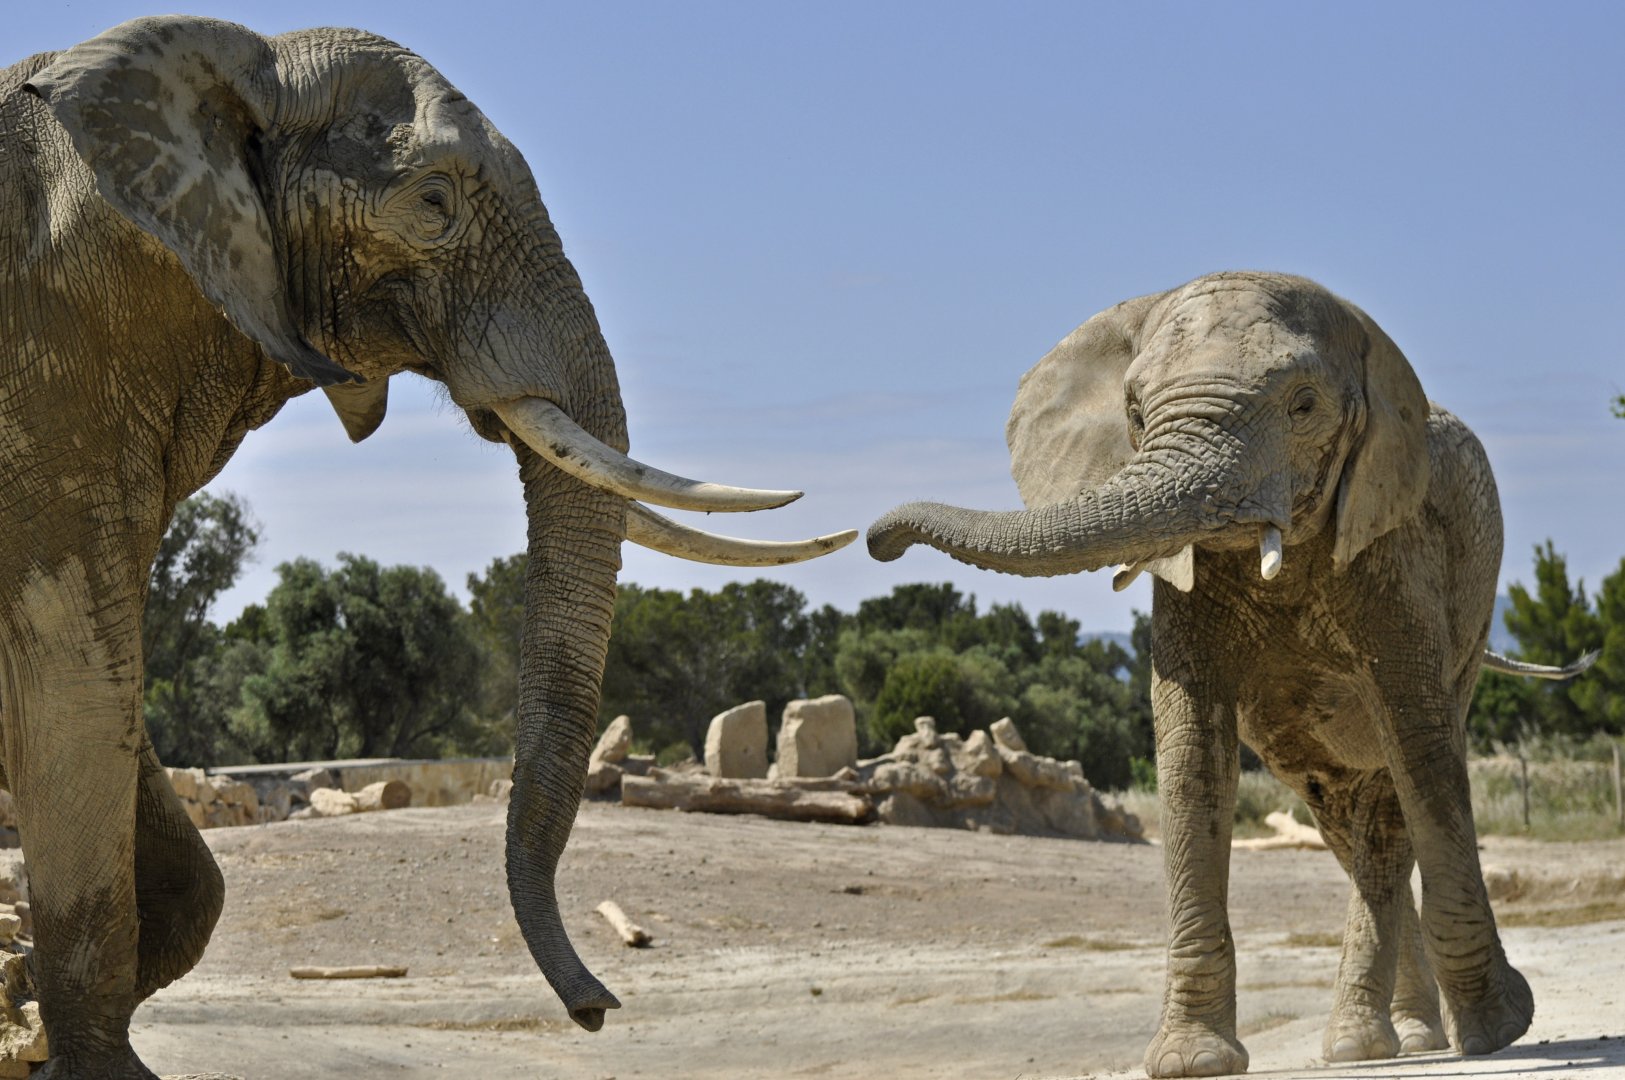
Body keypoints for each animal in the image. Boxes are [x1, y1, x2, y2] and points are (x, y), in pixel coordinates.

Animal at [0, 16, 853, 1078]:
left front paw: (38, 1030)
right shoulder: (51, 360)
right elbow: (75, 666)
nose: (597, 1008)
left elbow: (101, 703)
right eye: (433, 203)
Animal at [868, 271, 1592, 1076]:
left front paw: (1502, 1028)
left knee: (1386, 809)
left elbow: (1420, 743)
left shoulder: (1397, 548)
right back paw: (1387, 1042)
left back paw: (1391, 1039)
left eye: (1303, 406)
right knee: (1344, 820)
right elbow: (1189, 752)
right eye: (1134, 413)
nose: (880, 541)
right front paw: (1194, 1059)